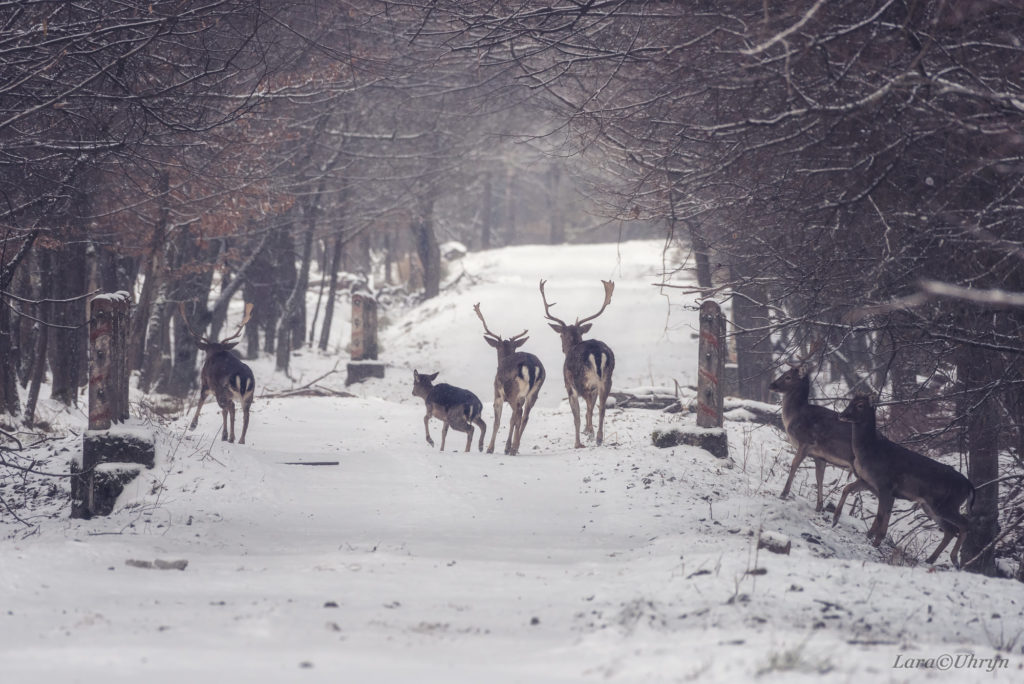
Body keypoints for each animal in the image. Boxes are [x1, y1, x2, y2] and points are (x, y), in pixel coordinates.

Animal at [179, 303, 254, 444]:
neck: (215, 353)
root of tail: (243, 377)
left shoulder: (205, 383)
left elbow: (201, 401)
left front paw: (193, 425)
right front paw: (224, 435)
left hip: (223, 390)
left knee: (230, 407)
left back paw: (230, 437)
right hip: (248, 395)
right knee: (245, 415)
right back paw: (240, 440)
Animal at [475, 303, 548, 454]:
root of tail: (530, 365)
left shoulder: (497, 394)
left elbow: (498, 422)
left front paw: (490, 448)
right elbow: (512, 420)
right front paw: (506, 447)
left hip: (512, 391)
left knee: (518, 414)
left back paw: (512, 448)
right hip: (534, 391)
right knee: (524, 416)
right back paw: (515, 446)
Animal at [536, 278, 614, 448]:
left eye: (561, 335)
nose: (562, 348)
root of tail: (596, 353)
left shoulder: (569, 385)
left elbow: (576, 416)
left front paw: (579, 441)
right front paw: (588, 433)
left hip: (581, 379)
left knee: (589, 406)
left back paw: (590, 434)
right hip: (607, 378)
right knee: (601, 407)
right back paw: (598, 437)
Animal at [770, 362, 856, 511]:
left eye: (788, 377)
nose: (772, 385)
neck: (794, 417)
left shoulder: (807, 441)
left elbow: (794, 464)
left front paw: (783, 494)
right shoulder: (819, 456)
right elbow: (819, 477)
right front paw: (819, 506)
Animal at [835, 393, 970, 569]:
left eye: (860, 405)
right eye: (850, 401)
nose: (841, 415)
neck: (870, 450)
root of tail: (969, 486)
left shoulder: (886, 486)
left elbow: (881, 514)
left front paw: (873, 539)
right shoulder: (868, 481)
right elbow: (848, 489)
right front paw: (836, 519)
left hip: (948, 504)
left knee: (964, 524)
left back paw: (954, 559)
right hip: (931, 506)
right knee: (950, 530)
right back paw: (931, 559)